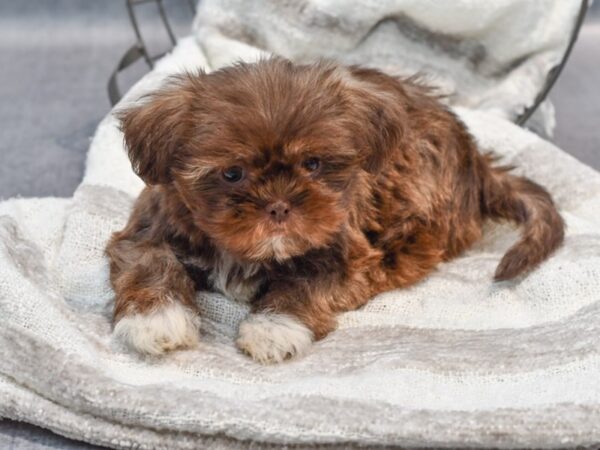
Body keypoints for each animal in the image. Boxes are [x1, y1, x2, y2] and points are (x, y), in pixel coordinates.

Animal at [106, 58, 564, 364]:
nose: (278, 206)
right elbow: (150, 264)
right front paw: (156, 321)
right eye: (232, 173)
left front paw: (273, 328)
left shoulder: (343, 253)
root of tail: (476, 158)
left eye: (313, 164)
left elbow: (304, 285)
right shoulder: (146, 232)